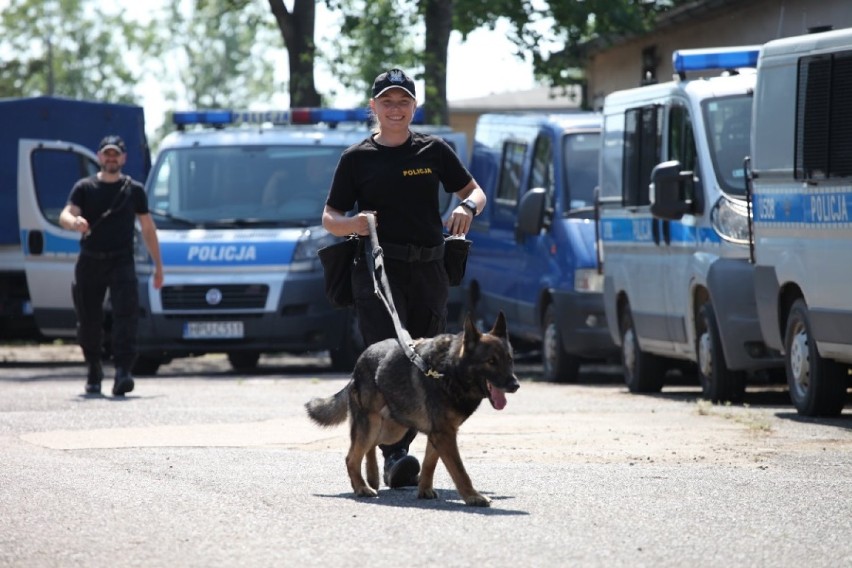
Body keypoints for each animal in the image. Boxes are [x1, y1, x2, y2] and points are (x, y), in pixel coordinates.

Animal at [306, 312, 520, 508]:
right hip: (373, 425)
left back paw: (372, 476)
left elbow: (429, 464)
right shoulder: (445, 435)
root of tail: (357, 366)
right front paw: (473, 496)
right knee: (351, 457)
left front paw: (424, 490)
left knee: (370, 446)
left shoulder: (439, 435)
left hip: (392, 430)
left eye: (510, 360)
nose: (515, 385)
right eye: (491, 361)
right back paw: (361, 487)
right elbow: (459, 470)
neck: (450, 370)